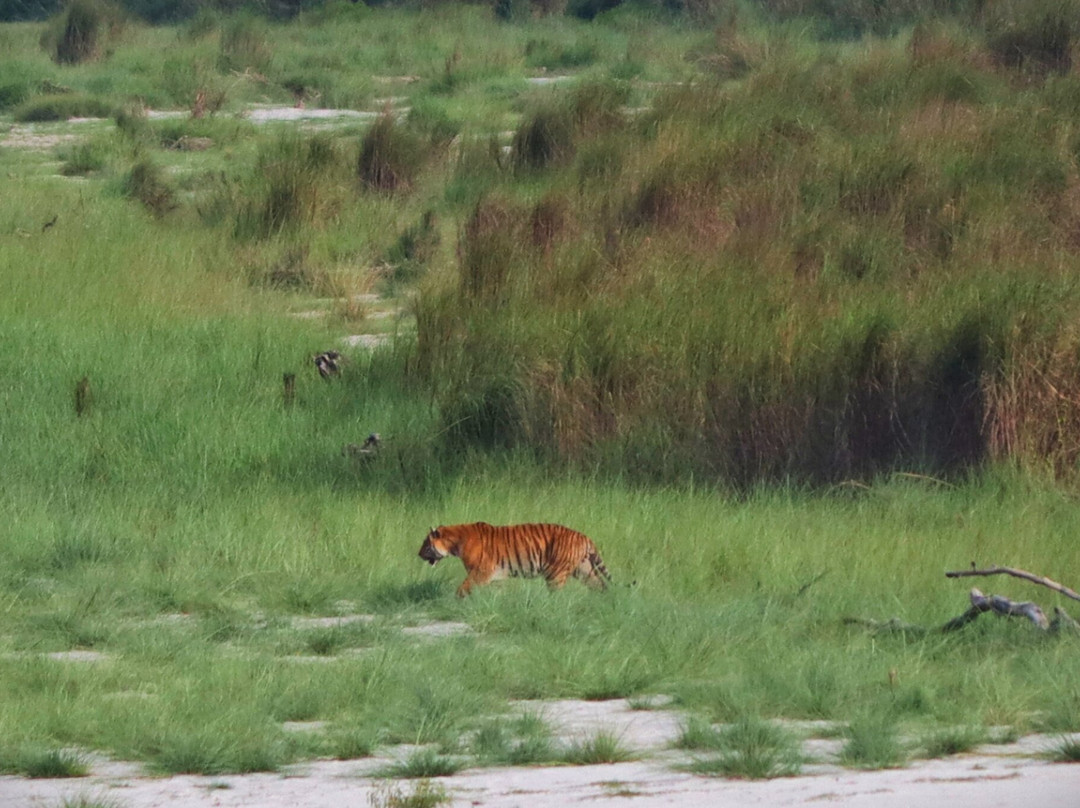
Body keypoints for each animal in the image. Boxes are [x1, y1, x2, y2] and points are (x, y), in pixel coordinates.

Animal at [418, 522, 611, 597]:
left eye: (425, 544)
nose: (418, 554)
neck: (455, 542)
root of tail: (583, 537)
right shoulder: (495, 575)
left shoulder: (480, 571)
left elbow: (463, 588)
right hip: (584, 569)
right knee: (600, 585)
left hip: (555, 573)